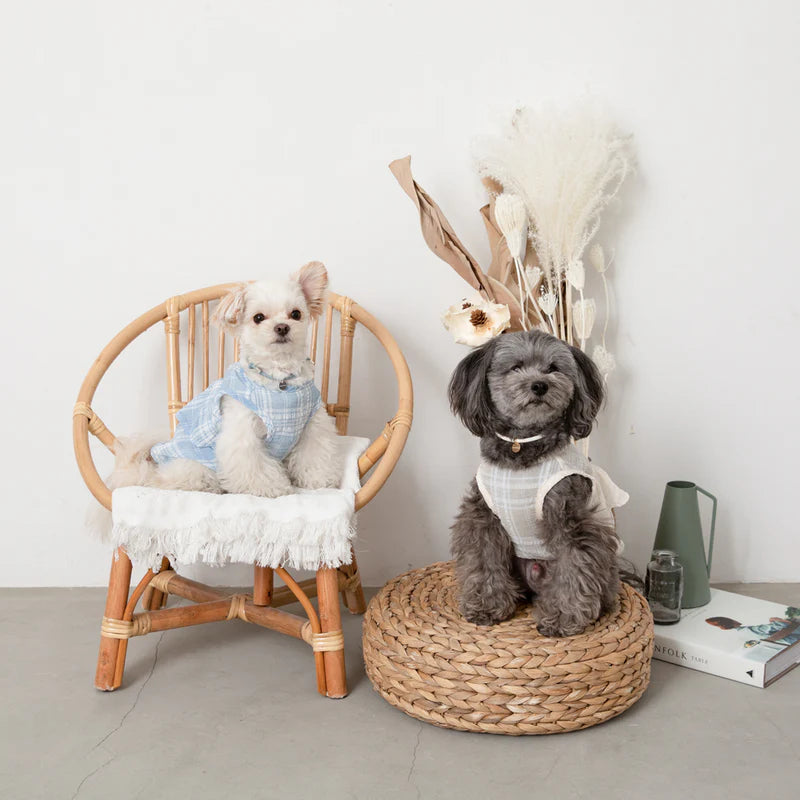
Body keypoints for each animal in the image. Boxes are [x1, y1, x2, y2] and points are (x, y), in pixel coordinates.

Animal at [107, 262, 342, 499]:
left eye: (295, 314)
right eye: (258, 317)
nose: (282, 327)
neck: (280, 383)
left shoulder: (313, 426)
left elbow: (314, 456)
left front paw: (319, 480)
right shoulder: (242, 432)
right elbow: (253, 465)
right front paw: (269, 488)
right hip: (194, 465)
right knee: (173, 481)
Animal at [448, 328, 630, 637]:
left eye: (553, 368)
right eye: (515, 367)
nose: (539, 385)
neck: (522, 444)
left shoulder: (570, 519)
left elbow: (574, 571)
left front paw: (562, 619)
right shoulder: (483, 517)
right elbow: (484, 561)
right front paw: (486, 606)